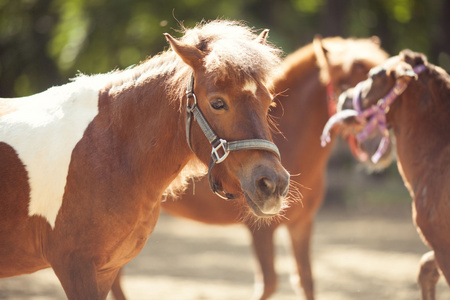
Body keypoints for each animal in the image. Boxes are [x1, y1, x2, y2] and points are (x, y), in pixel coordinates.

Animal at [0, 19, 292, 298]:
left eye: (268, 102)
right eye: (218, 103)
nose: (273, 184)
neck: (110, 149)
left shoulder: (105, 271)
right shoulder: (75, 268)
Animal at [110, 35, 388, 300]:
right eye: (350, 89)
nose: (378, 145)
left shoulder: (301, 224)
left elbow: (305, 282)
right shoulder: (261, 228)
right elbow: (268, 284)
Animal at [330, 49, 450, 300]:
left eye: (374, 75)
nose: (343, 98)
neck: (437, 159)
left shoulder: (443, 246)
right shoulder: (440, 249)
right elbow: (425, 268)